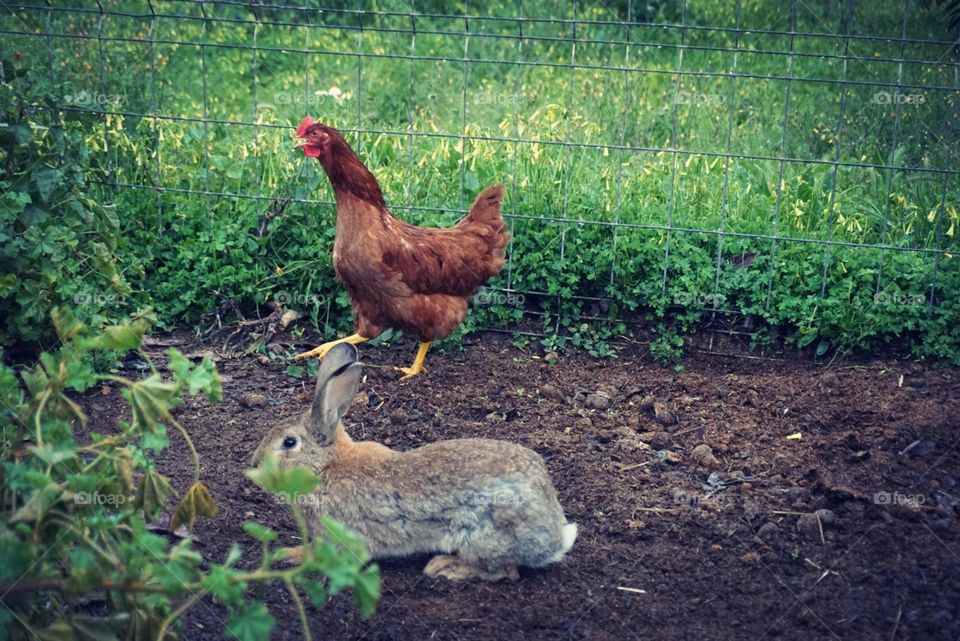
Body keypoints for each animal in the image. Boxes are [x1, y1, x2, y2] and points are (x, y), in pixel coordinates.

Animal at [249, 344, 576, 580]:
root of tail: (555, 536)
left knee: (505, 571)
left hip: (483, 535)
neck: (325, 467)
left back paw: (445, 567)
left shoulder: (341, 535)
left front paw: (289, 555)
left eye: (289, 443)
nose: (254, 464)